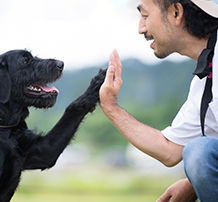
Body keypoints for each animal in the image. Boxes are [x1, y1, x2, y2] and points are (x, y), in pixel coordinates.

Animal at [0, 49, 106, 202]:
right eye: (25, 61)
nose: (61, 63)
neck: (5, 127)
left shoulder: (44, 151)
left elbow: (73, 107)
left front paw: (99, 82)